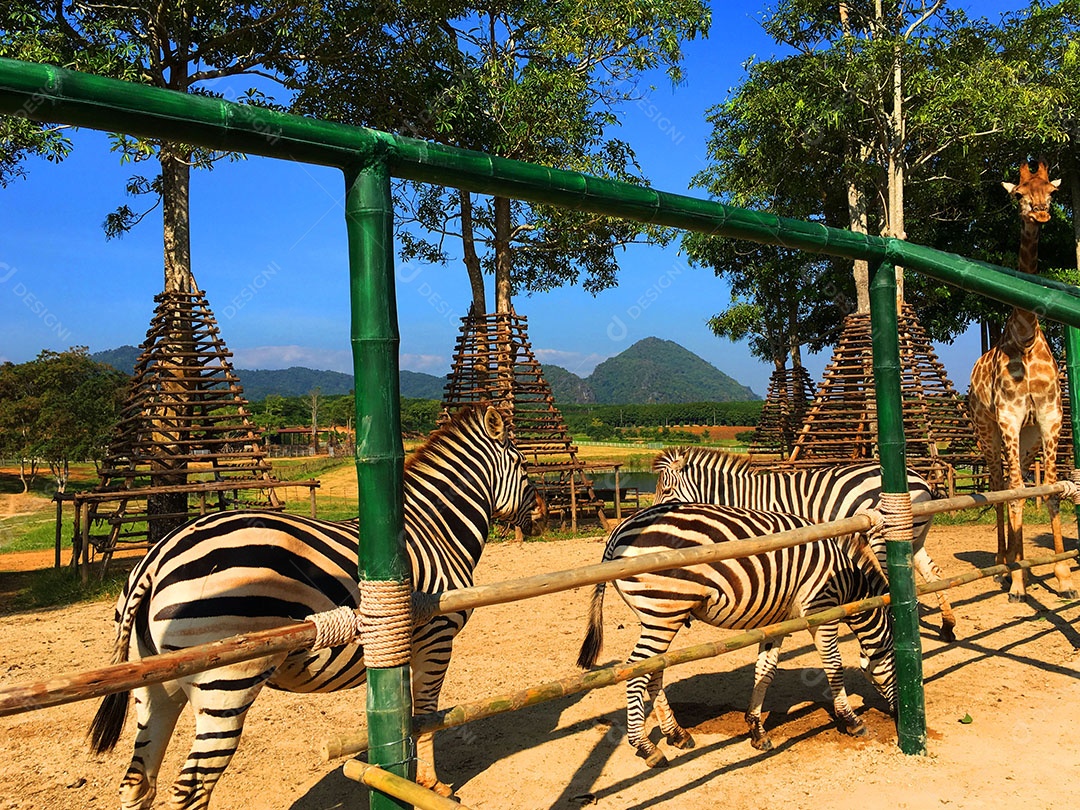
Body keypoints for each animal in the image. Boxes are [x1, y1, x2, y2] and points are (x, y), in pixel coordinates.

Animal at [88, 404, 546, 809]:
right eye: (524, 465)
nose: (543, 513)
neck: (437, 528)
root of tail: (156, 557)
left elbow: (411, 714)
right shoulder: (437, 635)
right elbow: (428, 713)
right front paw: (432, 785)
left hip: (155, 684)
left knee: (137, 782)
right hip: (227, 682)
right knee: (190, 789)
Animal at [577, 502, 897, 767]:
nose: (897, 714)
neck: (847, 579)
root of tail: (618, 531)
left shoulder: (779, 622)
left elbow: (765, 672)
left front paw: (756, 729)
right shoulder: (822, 610)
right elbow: (834, 666)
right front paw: (852, 720)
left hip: (662, 617)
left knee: (653, 670)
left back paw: (677, 733)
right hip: (663, 609)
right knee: (636, 671)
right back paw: (646, 747)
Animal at [652, 446, 956, 641]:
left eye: (666, 490)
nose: (653, 515)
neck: (744, 497)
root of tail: (921, 479)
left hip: (886, 537)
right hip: (916, 536)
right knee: (932, 572)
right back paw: (947, 625)